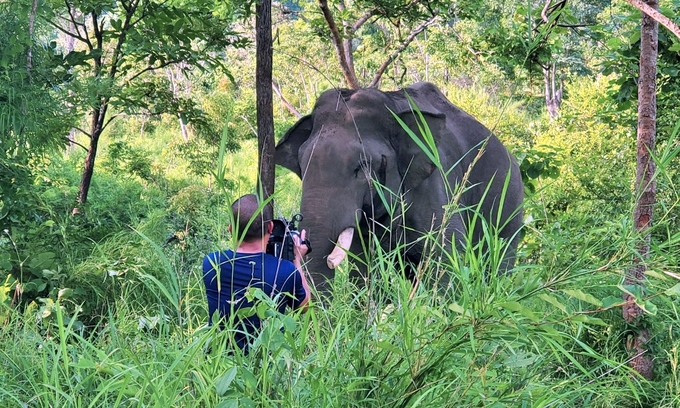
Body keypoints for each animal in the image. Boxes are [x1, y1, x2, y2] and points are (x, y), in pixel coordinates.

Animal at [274, 82, 524, 294]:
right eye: (301, 165)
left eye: (362, 166)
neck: (392, 105)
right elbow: (363, 264)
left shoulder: (435, 185)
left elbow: (448, 250)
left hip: (510, 205)